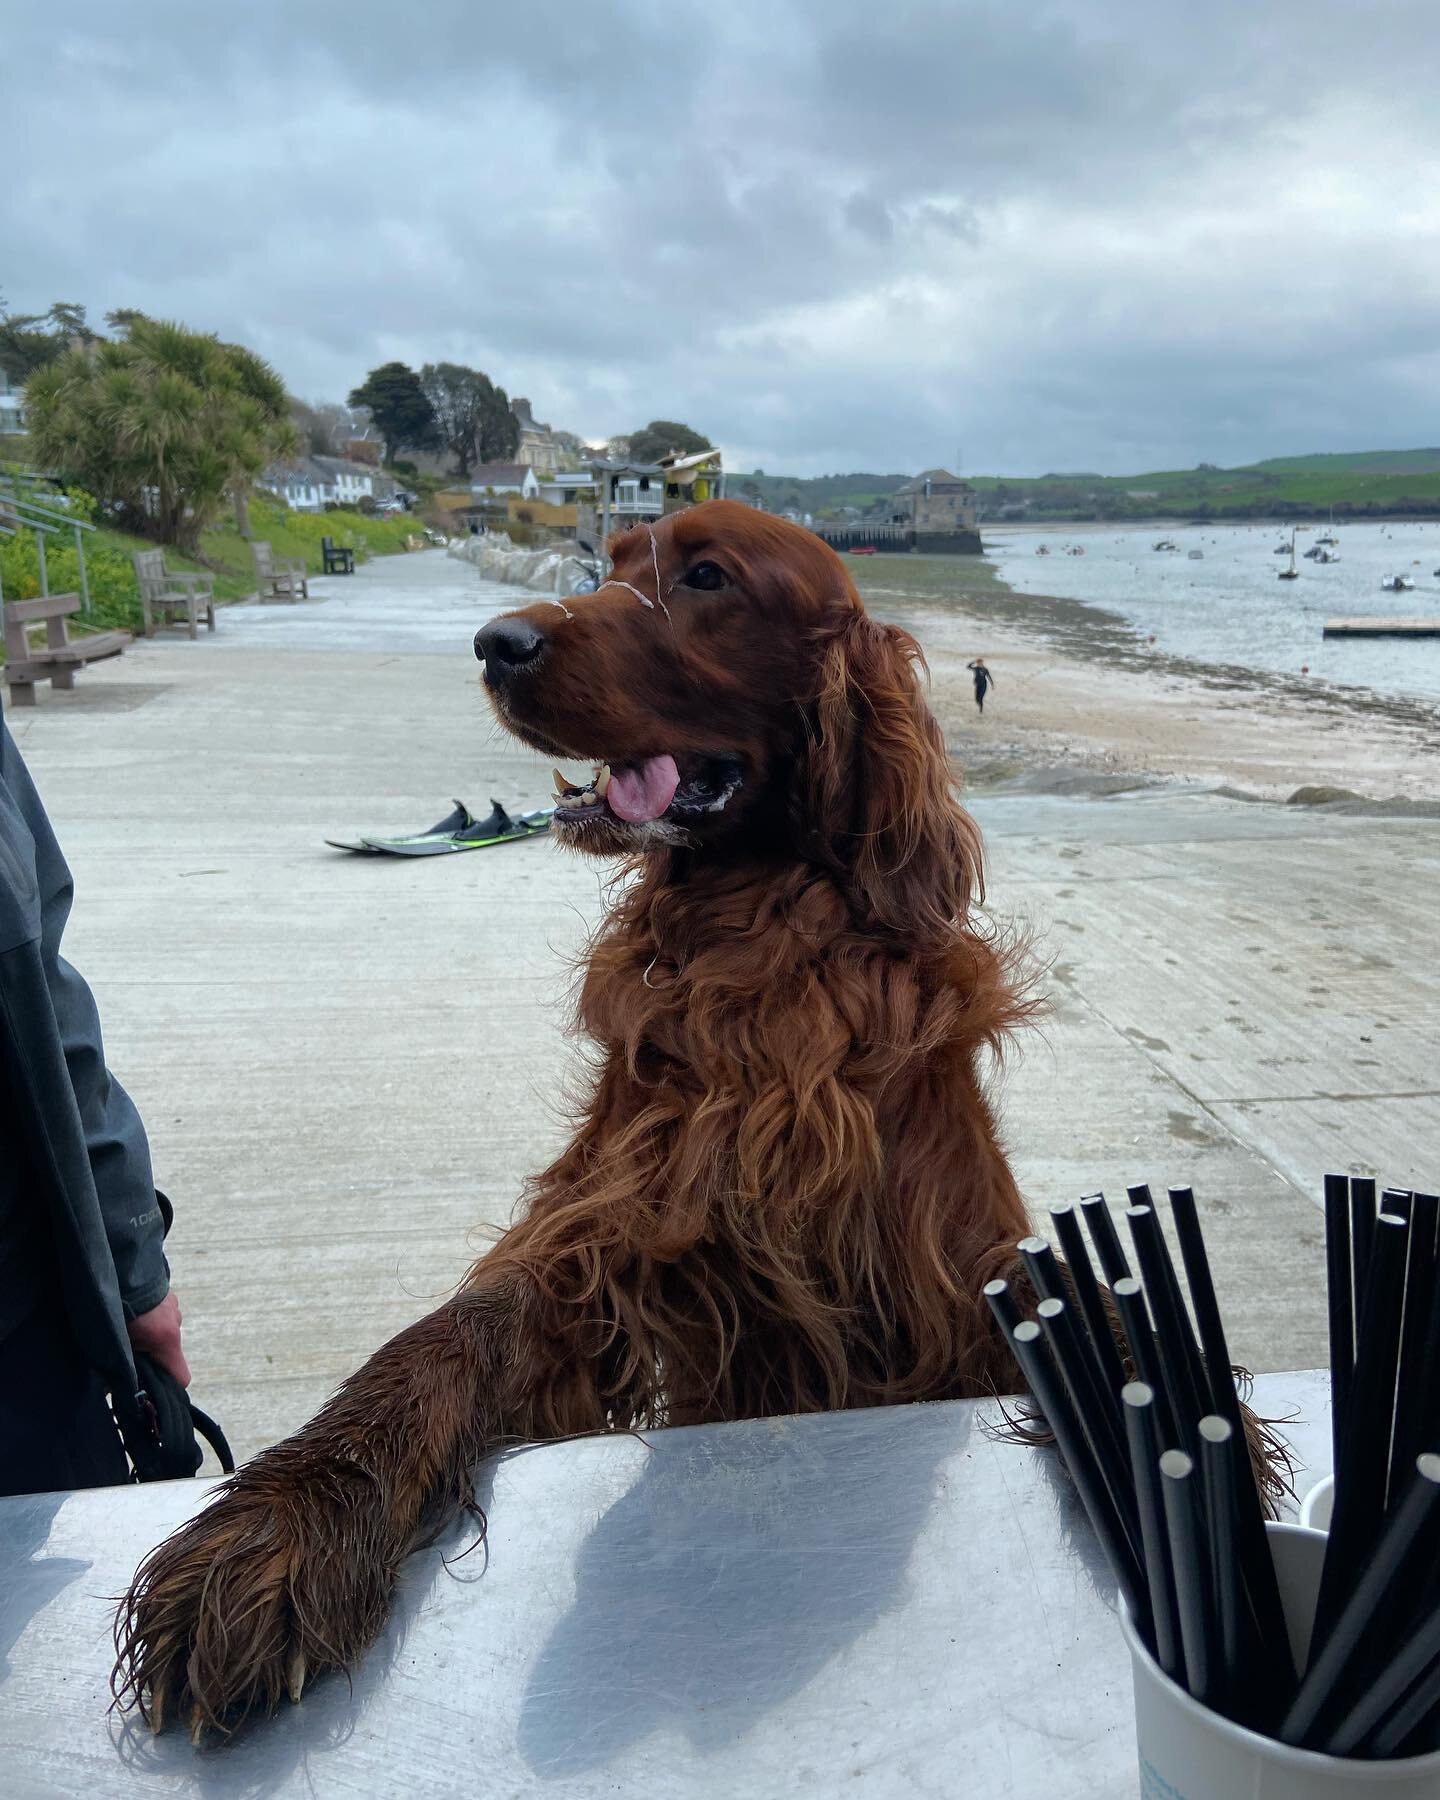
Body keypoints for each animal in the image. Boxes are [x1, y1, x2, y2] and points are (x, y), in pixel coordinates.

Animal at [112, 504, 1036, 1728]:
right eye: (609, 562)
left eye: (706, 577)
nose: (495, 643)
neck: (761, 953)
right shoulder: (612, 1229)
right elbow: (442, 1337)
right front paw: (275, 1527)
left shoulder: (944, 1267)